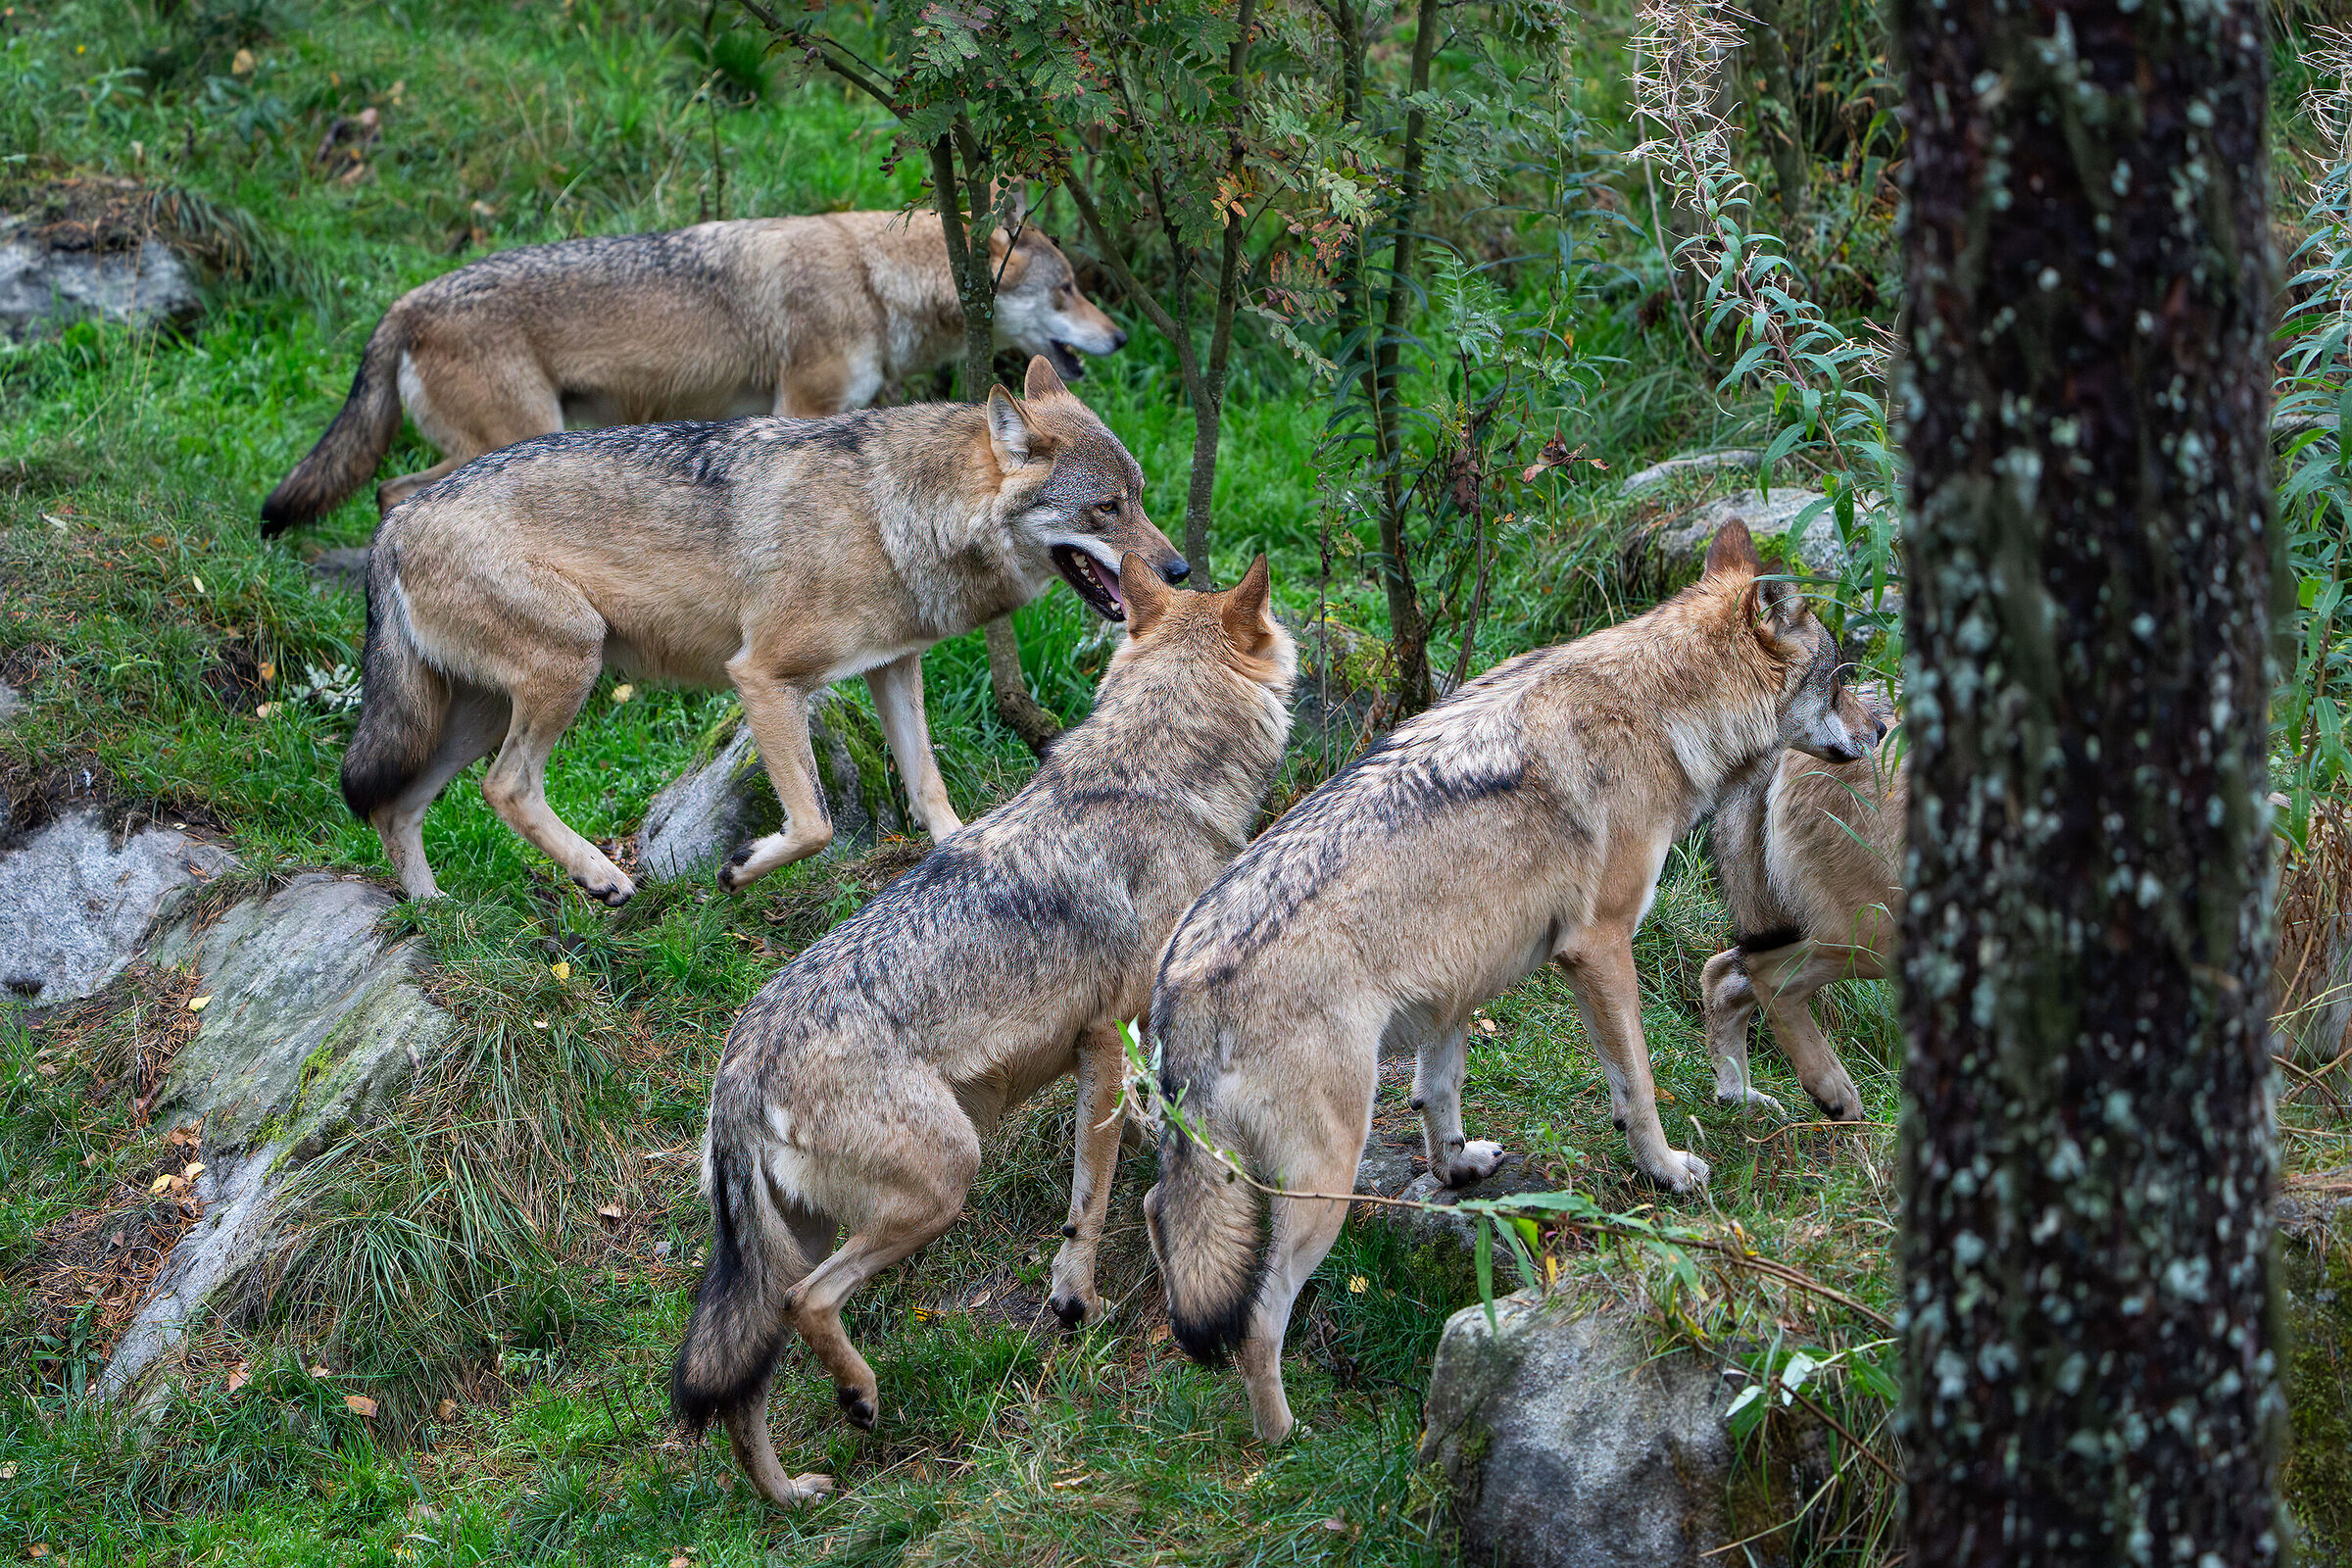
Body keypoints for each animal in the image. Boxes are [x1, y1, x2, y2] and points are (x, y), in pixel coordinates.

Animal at [260, 209, 1124, 532]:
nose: (1119, 335)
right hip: (512, 445)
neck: (874, 277)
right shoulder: (802, 412)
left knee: (389, 491)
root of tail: (404, 303)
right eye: (1068, 289)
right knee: (392, 492)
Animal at [342, 356, 1182, 903]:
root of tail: (395, 523)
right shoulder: (763, 679)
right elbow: (812, 823)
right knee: (506, 787)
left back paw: (434, 911)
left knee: (397, 805)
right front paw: (740, 867)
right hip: (569, 667)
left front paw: (962, 850)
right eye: (1106, 509)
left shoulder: (895, 668)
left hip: (479, 710)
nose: (1177, 570)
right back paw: (602, 877)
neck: (889, 518)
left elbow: (929, 786)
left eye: (1140, 497)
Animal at [668, 556, 1295, 1507]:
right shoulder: (1104, 1040)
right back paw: (860, 1397)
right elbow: (1089, 1199)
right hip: (943, 1180)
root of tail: (739, 1066)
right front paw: (1074, 1302)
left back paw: (791, 1496)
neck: (1152, 778)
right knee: (808, 1303)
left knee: (744, 1386)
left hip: (798, 1242)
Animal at [1140, 520, 1880, 1443]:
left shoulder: (1454, 987)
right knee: (1257, 1318)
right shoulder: (1601, 947)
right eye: (1840, 680)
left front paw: (1458, 1171)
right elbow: (1637, 1085)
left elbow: (1439, 1093)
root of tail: (1182, 976)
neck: (1664, 710)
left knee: (1160, 1217)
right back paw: (1285, 1441)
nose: (1880, 730)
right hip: (1321, 1181)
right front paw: (1668, 1172)